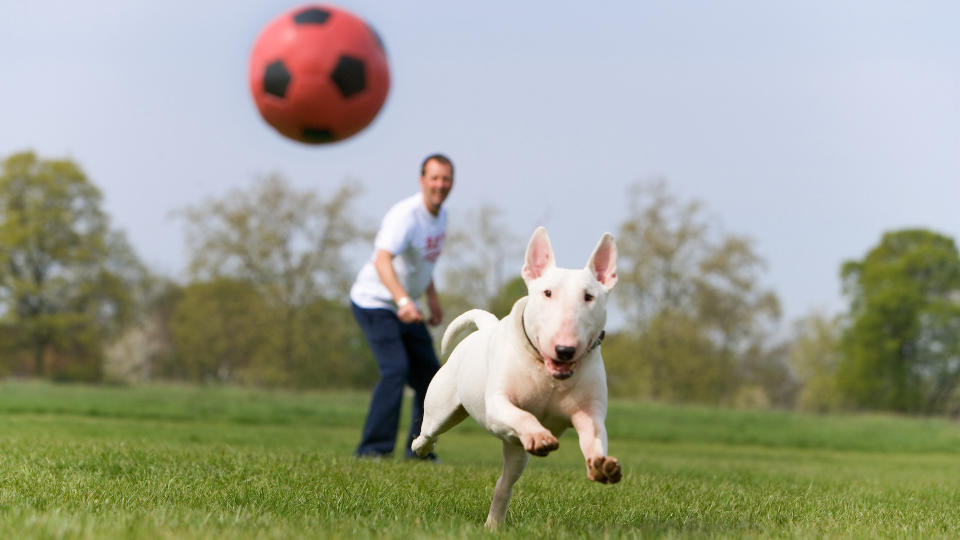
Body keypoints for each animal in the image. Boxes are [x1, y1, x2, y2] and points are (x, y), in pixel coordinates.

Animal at [408, 226, 620, 528]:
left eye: (589, 296)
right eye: (547, 293)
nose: (565, 350)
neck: (549, 375)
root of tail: (486, 327)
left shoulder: (589, 413)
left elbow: (592, 436)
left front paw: (602, 464)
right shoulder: (498, 406)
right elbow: (522, 415)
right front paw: (539, 435)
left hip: (517, 453)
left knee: (504, 484)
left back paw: (493, 524)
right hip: (442, 409)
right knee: (429, 431)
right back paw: (421, 448)